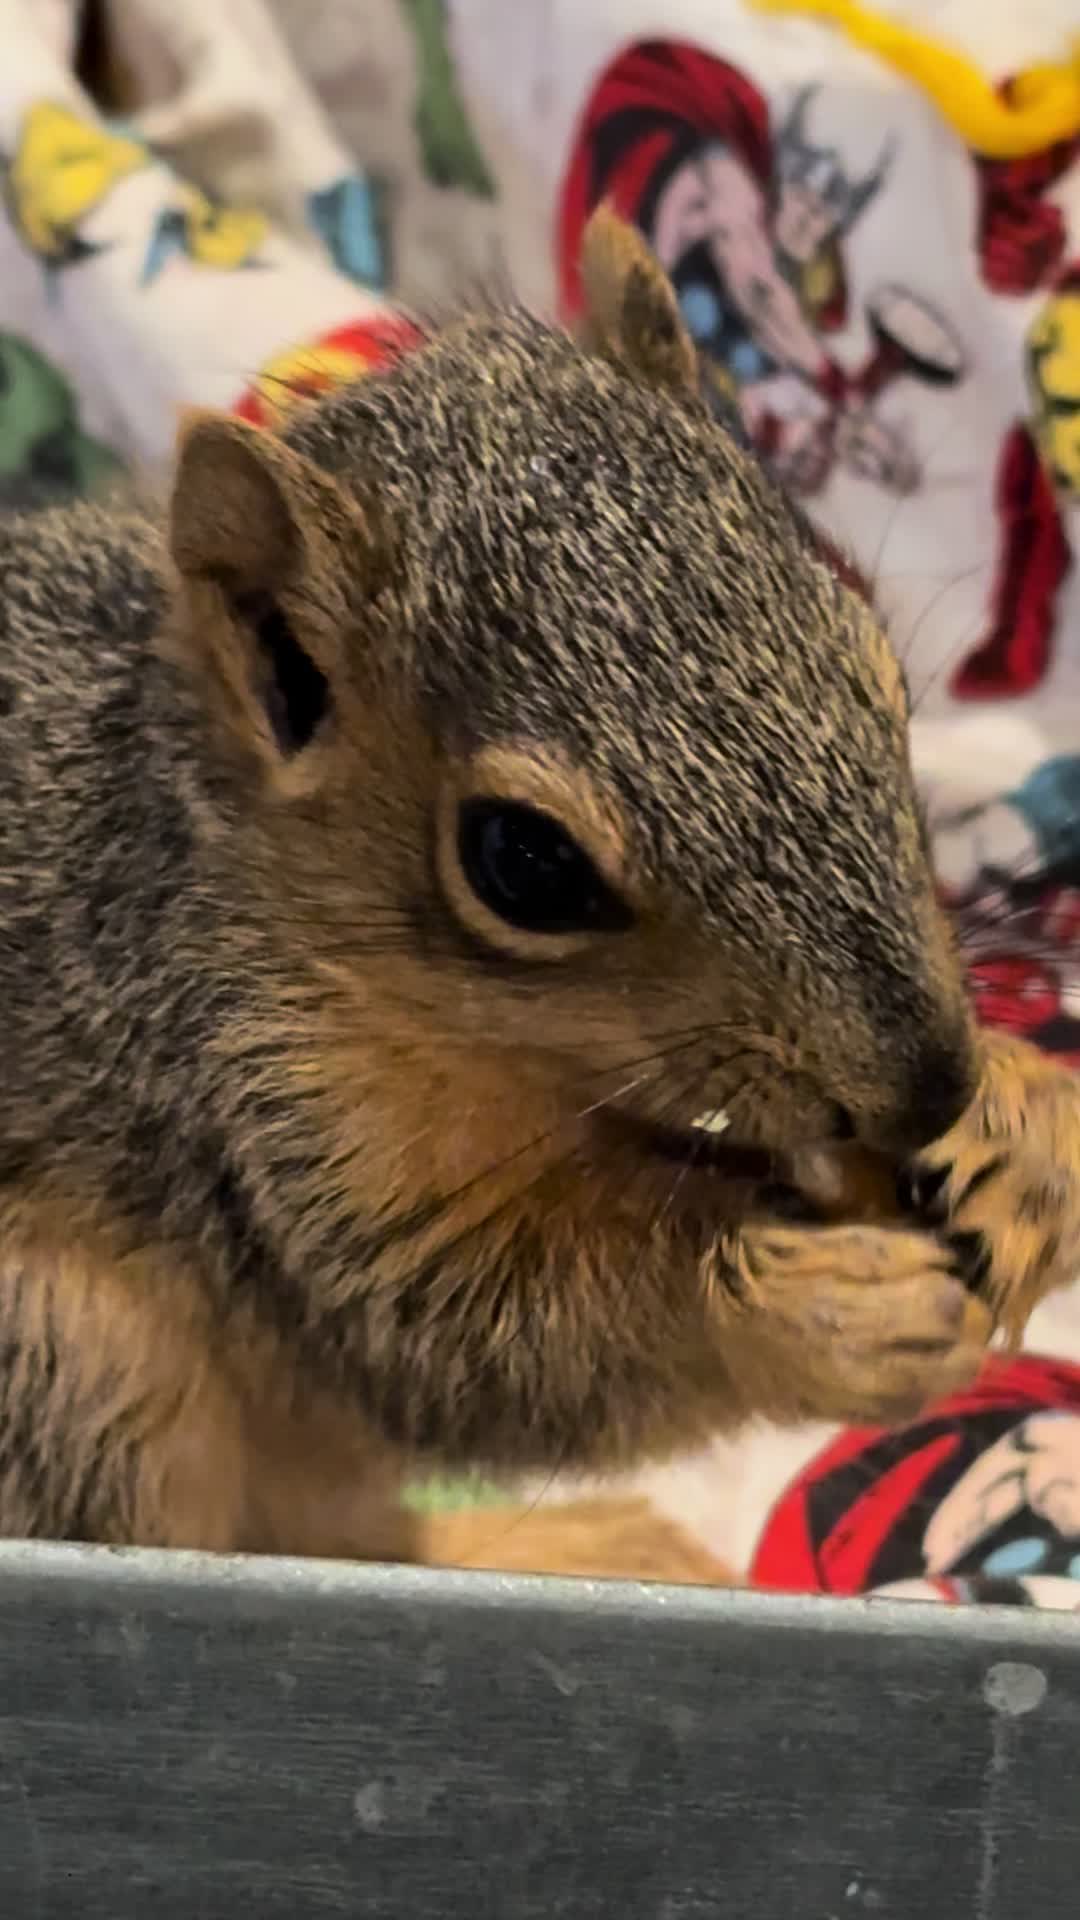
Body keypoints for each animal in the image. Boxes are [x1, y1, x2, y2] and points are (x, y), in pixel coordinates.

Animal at [0, 206, 1076, 1578]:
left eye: (876, 663)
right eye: (524, 860)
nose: (931, 1082)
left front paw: (1026, 1134)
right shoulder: (255, 1119)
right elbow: (467, 1342)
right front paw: (815, 1312)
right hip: (73, 1355)